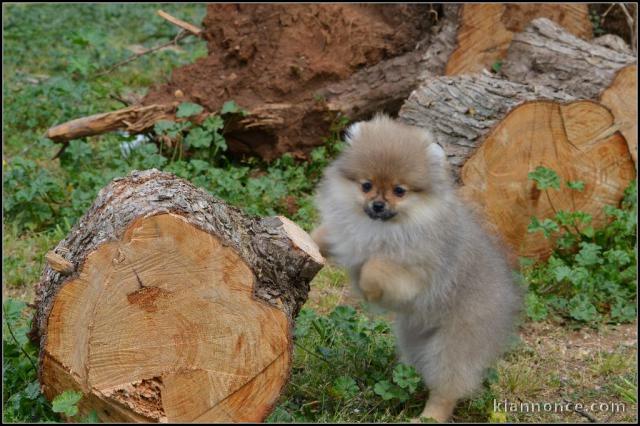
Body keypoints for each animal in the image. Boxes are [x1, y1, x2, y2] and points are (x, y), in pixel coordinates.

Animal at [312, 114, 524, 422]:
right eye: (366, 185)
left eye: (399, 191)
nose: (378, 204)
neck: (382, 227)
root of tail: (508, 305)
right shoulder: (348, 233)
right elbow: (326, 234)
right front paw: (301, 235)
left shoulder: (414, 274)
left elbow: (374, 267)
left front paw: (367, 288)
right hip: (414, 339)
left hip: (454, 343)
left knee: (447, 387)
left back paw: (429, 416)